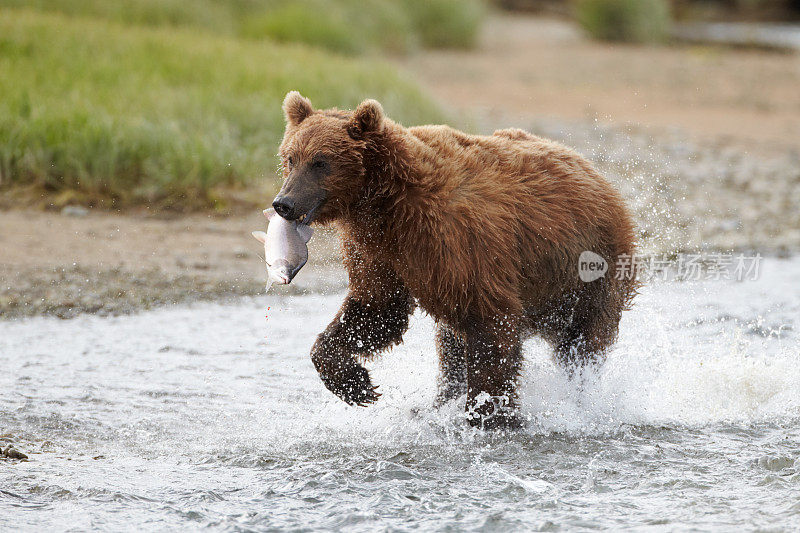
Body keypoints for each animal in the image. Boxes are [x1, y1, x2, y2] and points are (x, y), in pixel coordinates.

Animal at [276, 90, 636, 428]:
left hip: (588, 273)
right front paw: (356, 384)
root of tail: (597, 175)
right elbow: (376, 309)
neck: (385, 204)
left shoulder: (457, 241)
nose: (284, 203)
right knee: (450, 344)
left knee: (583, 344)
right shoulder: (377, 251)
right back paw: (433, 404)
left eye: (320, 162)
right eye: (291, 158)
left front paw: (490, 416)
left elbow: (489, 325)